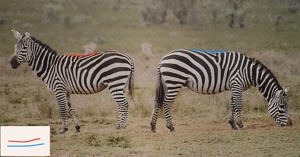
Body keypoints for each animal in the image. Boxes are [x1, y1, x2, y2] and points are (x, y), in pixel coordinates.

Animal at [151, 48, 292, 132]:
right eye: (282, 106)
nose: (290, 124)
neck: (249, 72)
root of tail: (163, 59)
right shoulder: (237, 84)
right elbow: (238, 105)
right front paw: (240, 124)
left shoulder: (234, 86)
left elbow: (232, 104)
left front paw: (232, 124)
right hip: (174, 81)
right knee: (166, 103)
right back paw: (170, 126)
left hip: (166, 83)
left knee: (157, 101)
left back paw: (153, 126)